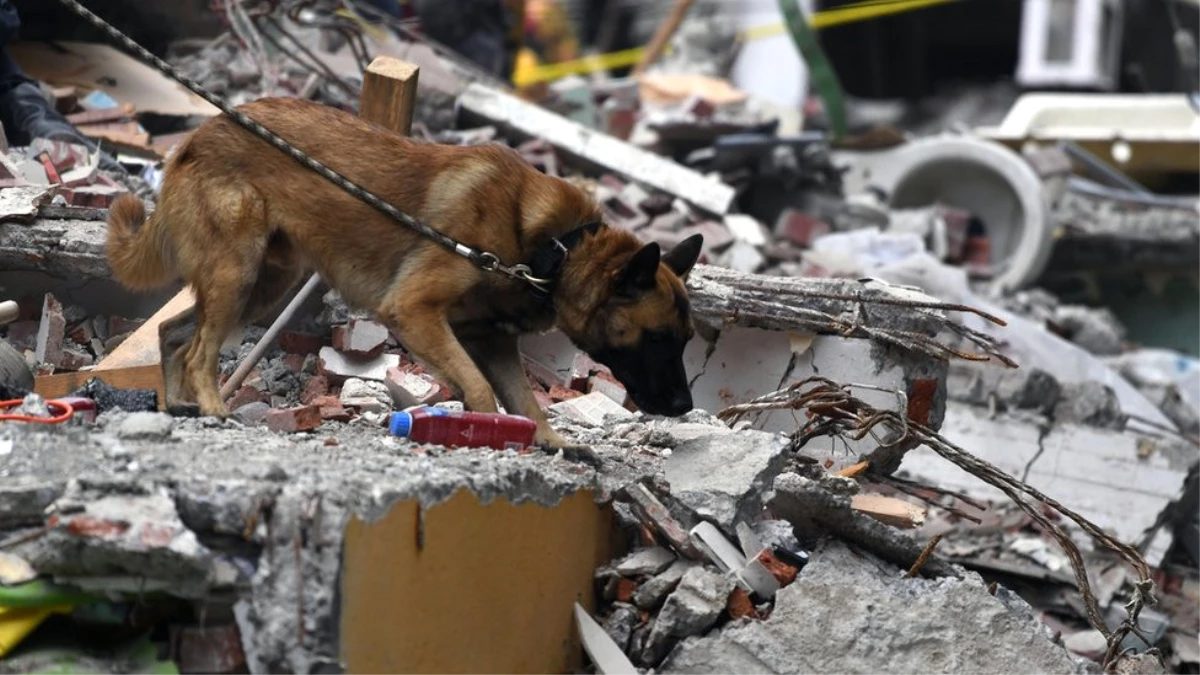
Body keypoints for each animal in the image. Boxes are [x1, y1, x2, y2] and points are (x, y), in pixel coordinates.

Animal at [105, 94, 700, 441]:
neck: (554, 249)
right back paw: (210, 406)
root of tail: (196, 137)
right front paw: (479, 432)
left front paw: (549, 444)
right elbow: (480, 390)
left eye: (685, 340)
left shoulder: (492, 342)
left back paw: (179, 407)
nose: (684, 406)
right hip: (239, 276)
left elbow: (528, 403)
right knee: (199, 350)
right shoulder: (415, 312)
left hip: (261, 287)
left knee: (172, 332)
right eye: (657, 339)